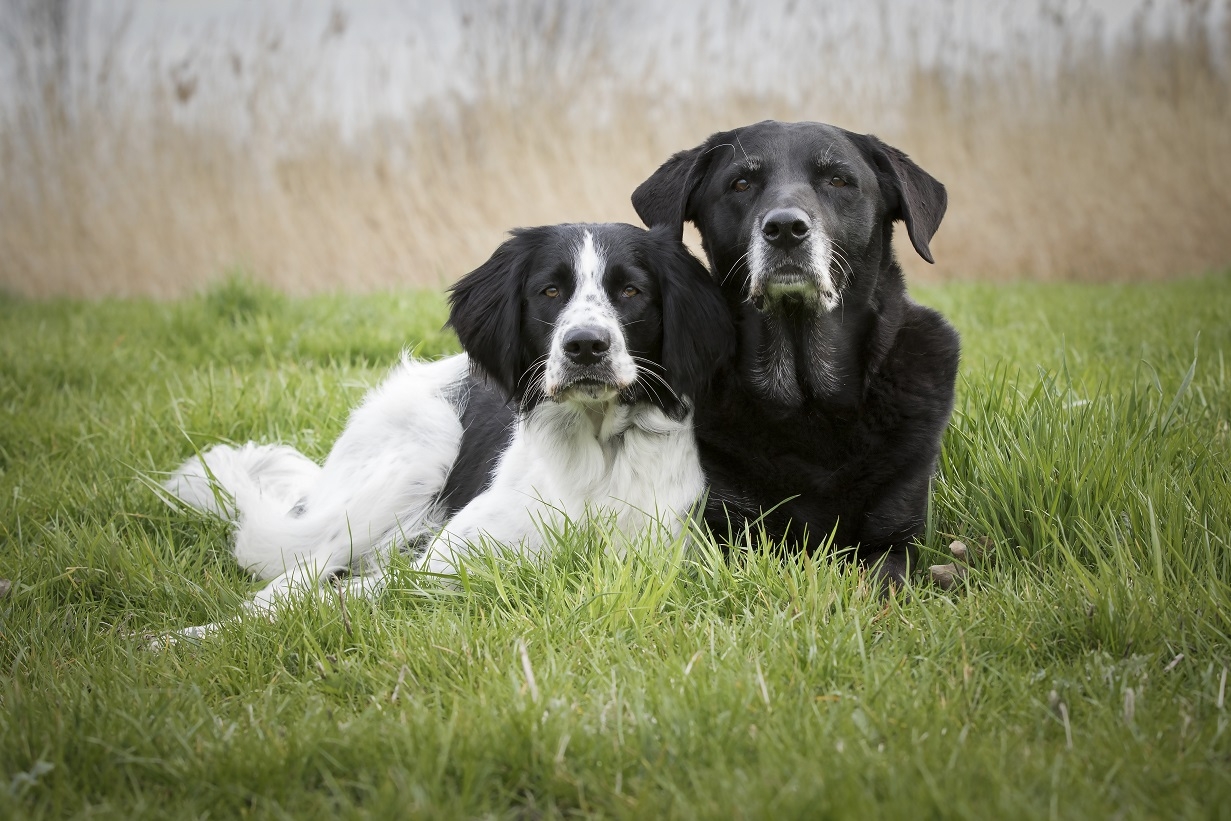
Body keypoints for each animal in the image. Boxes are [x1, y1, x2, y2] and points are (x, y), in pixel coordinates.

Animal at [168, 221, 733, 635]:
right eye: (550, 290)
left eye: (631, 290)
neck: (596, 453)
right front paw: (178, 642)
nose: (586, 346)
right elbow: (335, 596)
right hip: (415, 454)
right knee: (295, 575)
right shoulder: (444, 563)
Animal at [635, 120, 960, 583]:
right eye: (741, 183)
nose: (786, 228)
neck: (807, 402)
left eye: (838, 180)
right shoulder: (727, 532)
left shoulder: (893, 538)